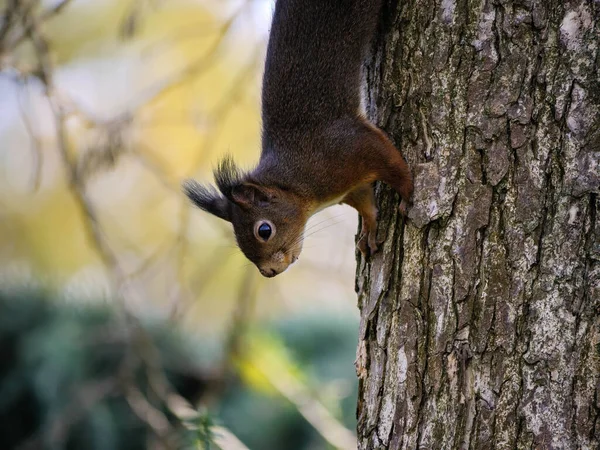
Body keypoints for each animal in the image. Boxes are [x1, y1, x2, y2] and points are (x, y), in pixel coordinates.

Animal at [184, 0, 412, 278]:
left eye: (264, 230)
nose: (268, 272)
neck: (296, 181)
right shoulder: (351, 187)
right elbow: (366, 203)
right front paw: (369, 230)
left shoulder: (350, 145)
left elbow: (392, 164)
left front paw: (408, 194)